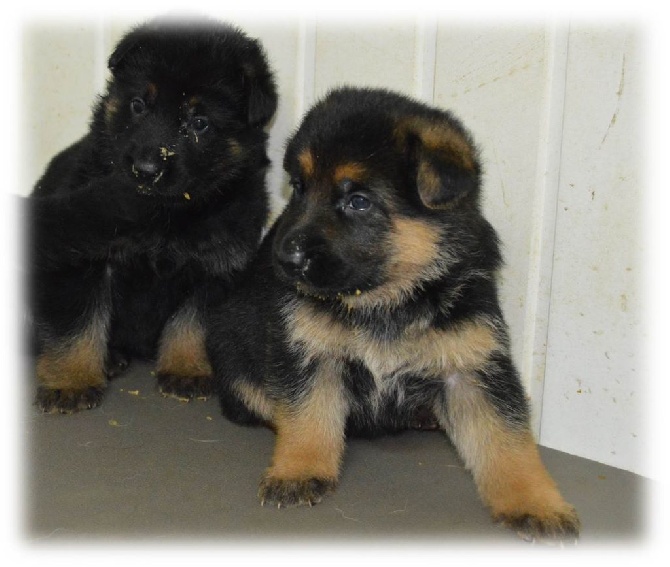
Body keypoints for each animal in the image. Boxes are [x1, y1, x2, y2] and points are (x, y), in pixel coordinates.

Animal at [28, 17, 278, 414]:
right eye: (138, 105)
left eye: (199, 122)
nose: (145, 170)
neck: (165, 214)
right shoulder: (79, 257)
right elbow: (75, 326)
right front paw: (71, 381)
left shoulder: (217, 268)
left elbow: (192, 324)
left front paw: (187, 368)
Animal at [207, 86, 580, 540]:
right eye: (298, 187)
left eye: (358, 201)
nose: (283, 259)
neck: (388, 299)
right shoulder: (307, 354)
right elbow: (307, 416)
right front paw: (298, 470)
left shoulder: (474, 368)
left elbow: (508, 441)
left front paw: (536, 502)